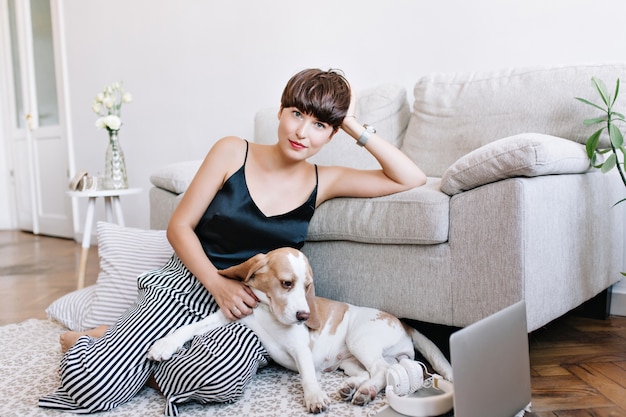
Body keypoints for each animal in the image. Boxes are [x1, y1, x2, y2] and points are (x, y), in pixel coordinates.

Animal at [149, 247, 450, 412]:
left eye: (307, 287)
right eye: (286, 283)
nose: (305, 315)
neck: (267, 311)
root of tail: (406, 323)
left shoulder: (299, 347)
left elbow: (307, 374)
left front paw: (314, 396)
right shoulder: (230, 315)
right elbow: (192, 327)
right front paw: (164, 344)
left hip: (360, 339)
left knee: (383, 370)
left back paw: (365, 392)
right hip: (350, 361)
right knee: (373, 371)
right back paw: (353, 388)